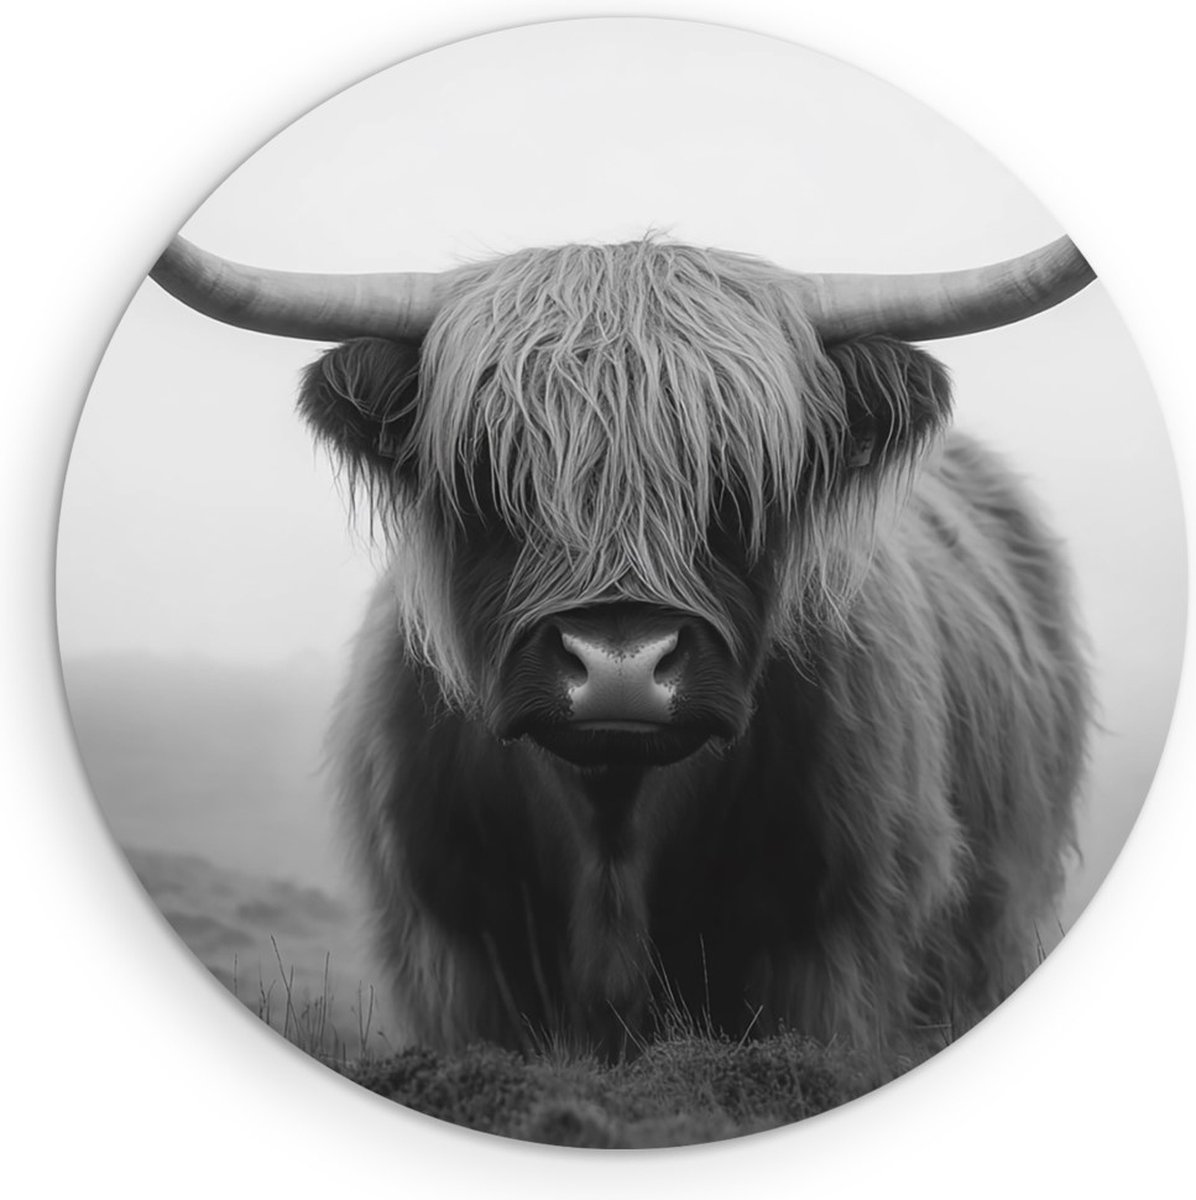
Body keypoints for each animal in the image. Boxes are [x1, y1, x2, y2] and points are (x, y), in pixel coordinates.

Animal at [151, 233, 1094, 1061]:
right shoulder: (457, 954)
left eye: (737, 479)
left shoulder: (836, 947)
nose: (620, 669)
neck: (612, 821)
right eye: (489, 471)